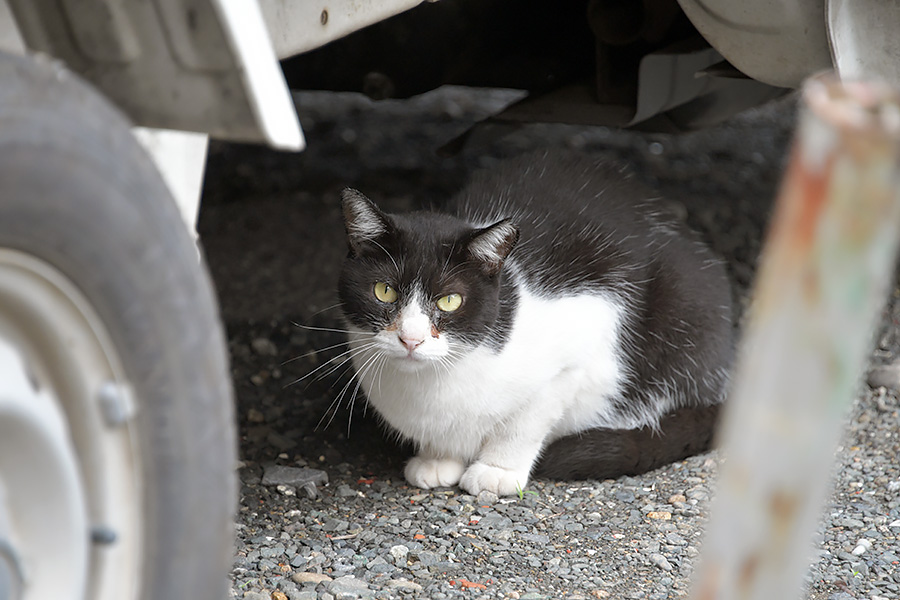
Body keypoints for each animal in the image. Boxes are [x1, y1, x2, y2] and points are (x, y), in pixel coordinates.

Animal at [336, 151, 732, 496]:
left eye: (449, 300)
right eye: (384, 291)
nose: (411, 339)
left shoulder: (585, 334)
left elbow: (525, 423)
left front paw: (497, 471)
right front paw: (438, 459)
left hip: (684, 306)